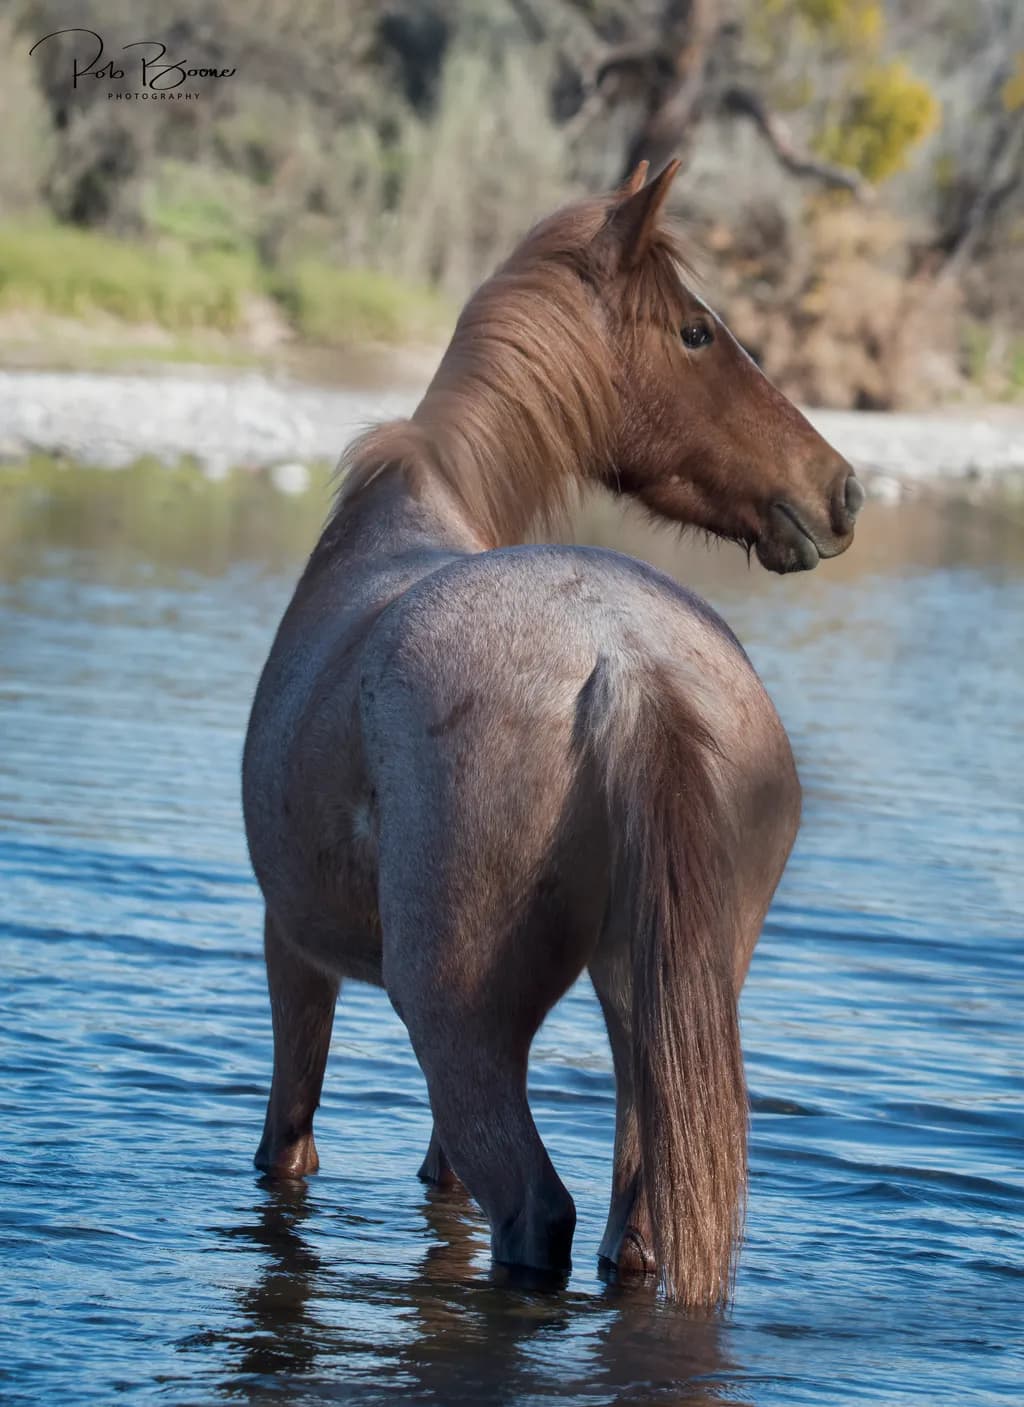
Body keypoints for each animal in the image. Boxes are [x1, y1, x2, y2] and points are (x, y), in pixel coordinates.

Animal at [241, 159, 863, 1311]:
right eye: (697, 331)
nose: (839, 490)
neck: (412, 504)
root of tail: (629, 662)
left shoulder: (291, 950)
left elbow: (286, 1149)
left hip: (459, 1020)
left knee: (540, 1212)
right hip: (651, 1013)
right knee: (637, 1230)